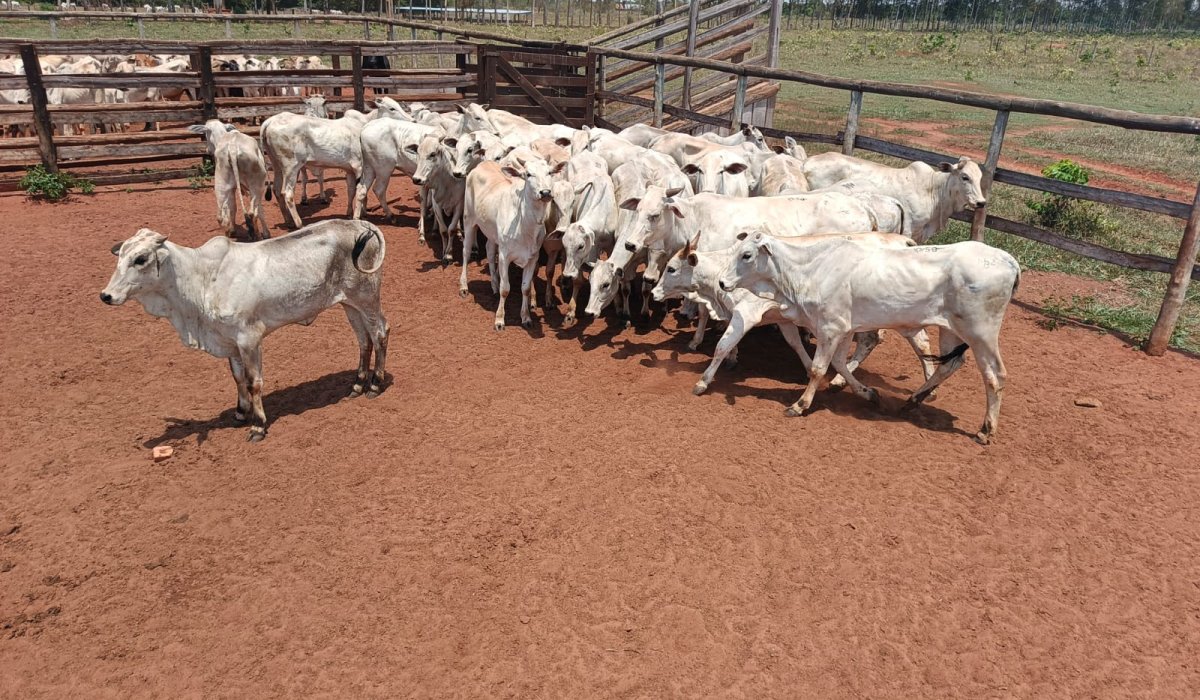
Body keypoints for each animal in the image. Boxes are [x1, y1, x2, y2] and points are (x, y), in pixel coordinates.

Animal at [100, 221, 390, 442]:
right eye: (119, 256)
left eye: (140, 259)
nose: (106, 295)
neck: (201, 280)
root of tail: (361, 224)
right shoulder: (229, 340)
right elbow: (237, 378)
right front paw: (241, 413)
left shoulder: (249, 339)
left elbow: (253, 381)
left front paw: (258, 425)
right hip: (349, 304)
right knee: (363, 340)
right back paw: (357, 384)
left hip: (366, 297)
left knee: (380, 333)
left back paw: (375, 384)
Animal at [719, 233, 1020, 443]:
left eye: (746, 255)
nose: (722, 282)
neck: (809, 270)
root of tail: (1009, 260)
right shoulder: (844, 329)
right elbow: (839, 364)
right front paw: (868, 393)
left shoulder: (830, 328)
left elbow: (818, 369)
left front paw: (799, 405)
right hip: (950, 329)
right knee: (949, 364)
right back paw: (914, 399)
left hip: (981, 332)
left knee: (996, 375)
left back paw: (985, 430)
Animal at [802, 154, 987, 243]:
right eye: (965, 177)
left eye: (980, 178)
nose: (981, 202)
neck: (933, 190)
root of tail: (806, 162)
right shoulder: (908, 230)